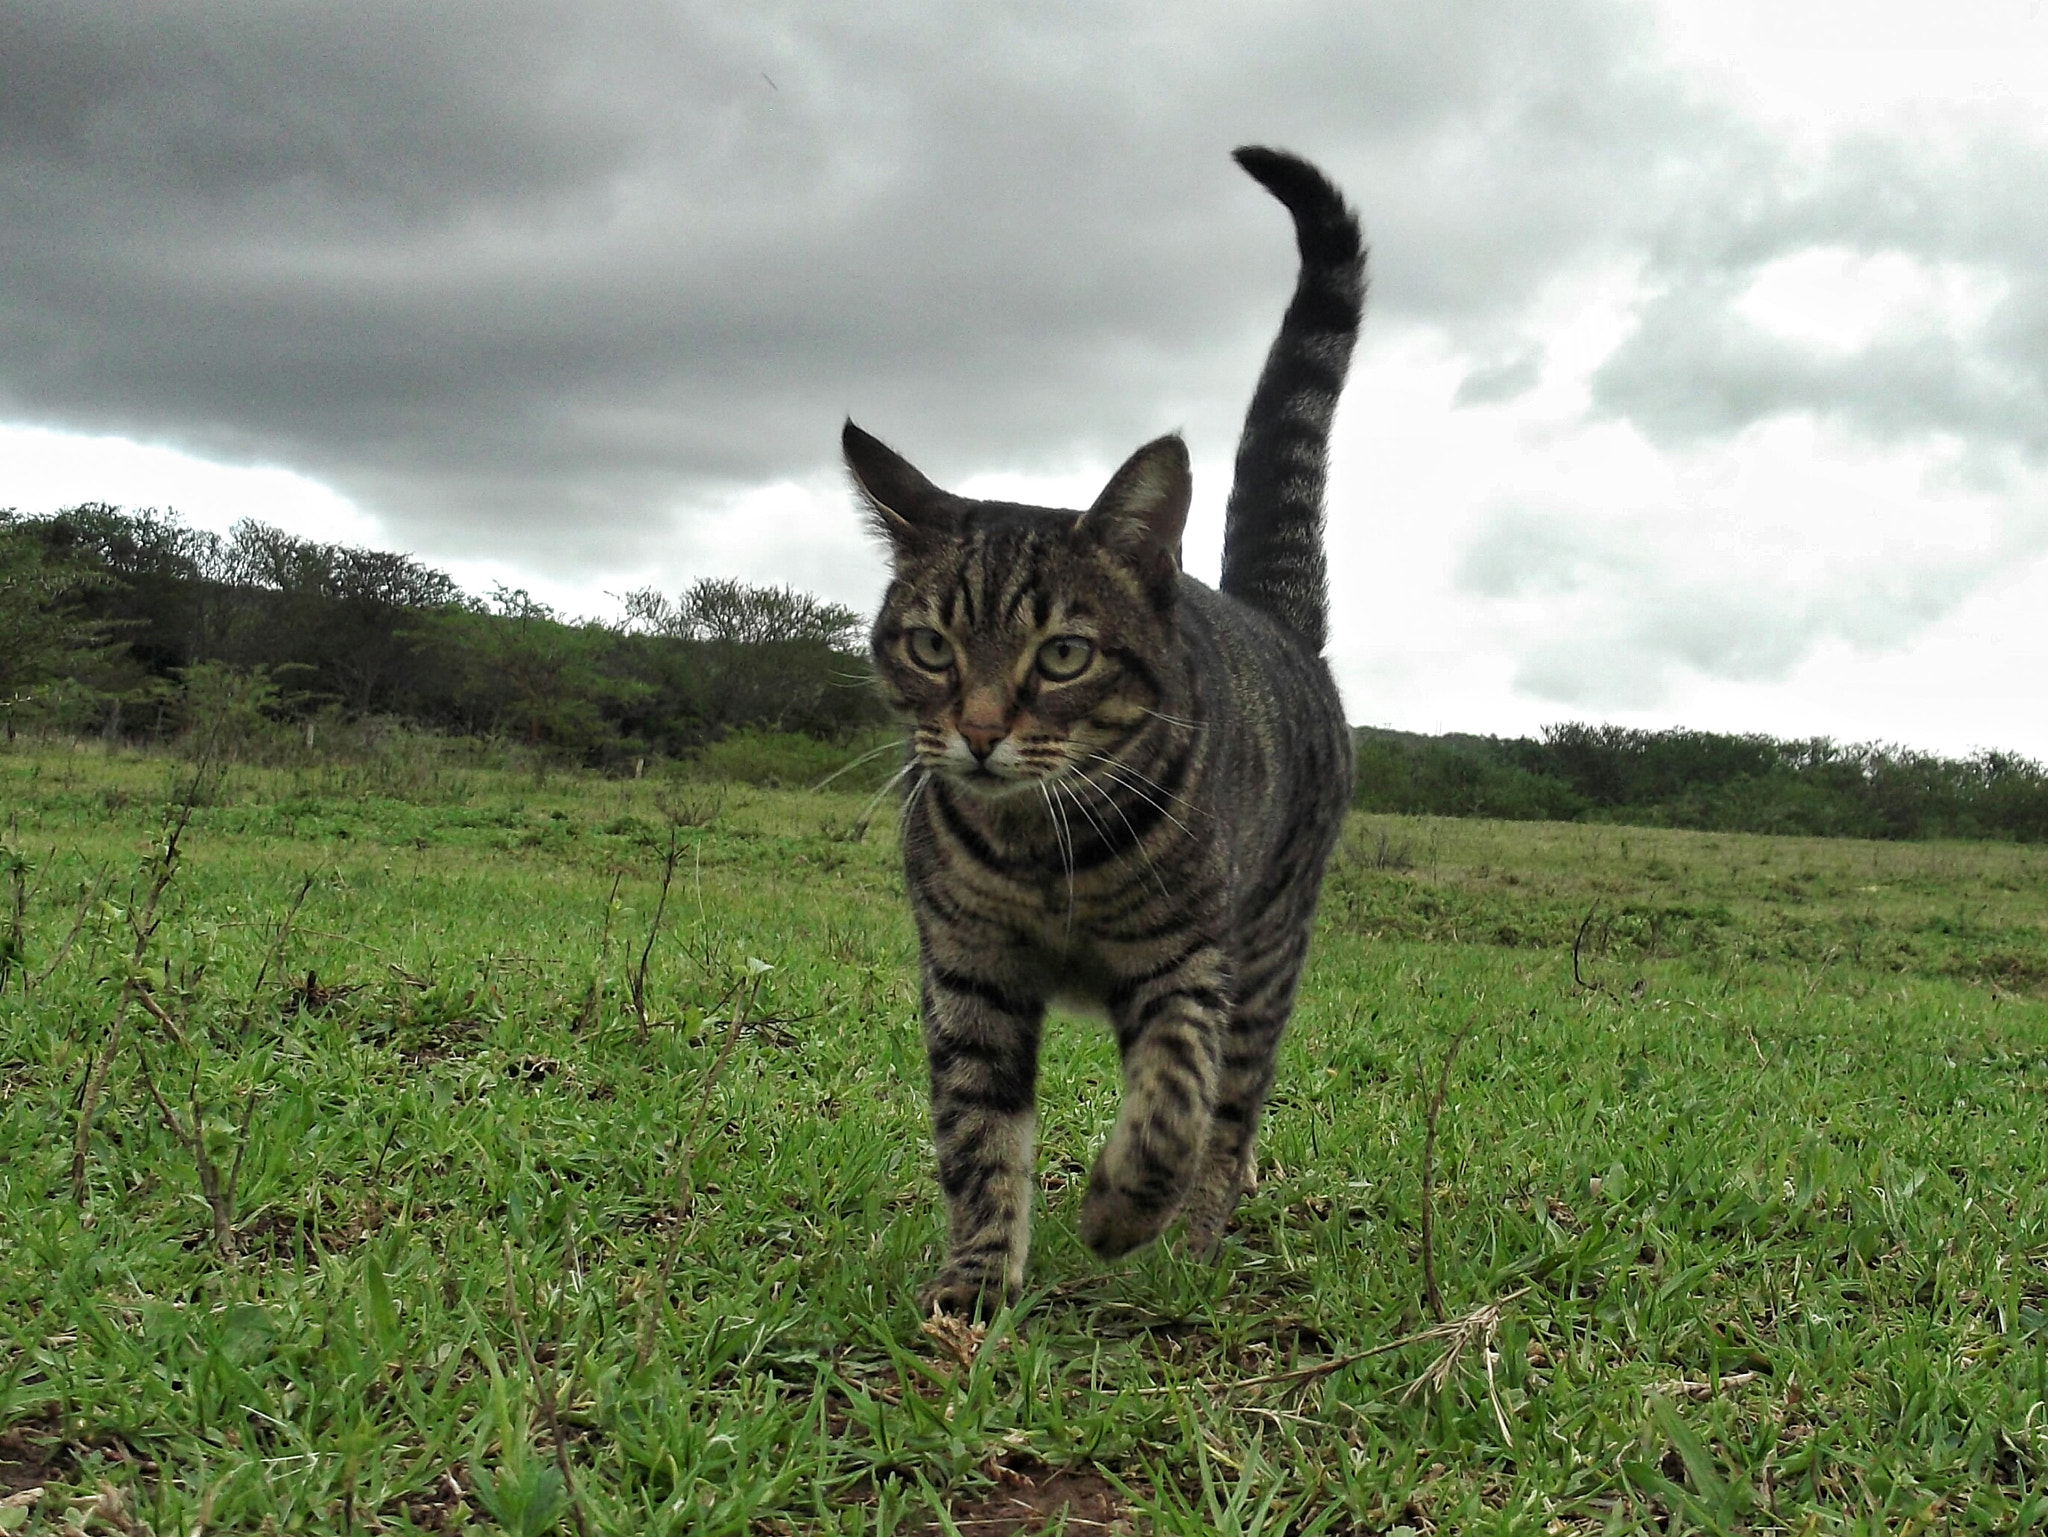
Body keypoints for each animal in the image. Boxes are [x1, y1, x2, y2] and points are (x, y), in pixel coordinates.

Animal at [839, 147, 1368, 1327]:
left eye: (1064, 655)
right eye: (932, 645)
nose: (979, 732)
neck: (1043, 850)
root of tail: (1274, 621)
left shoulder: (1187, 962)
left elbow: (1175, 1096)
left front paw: (1122, 1208)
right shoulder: (970, 972)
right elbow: (978, 1135)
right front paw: (976, 1284)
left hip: (1270, 944)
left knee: (1233, 1106)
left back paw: (1196, 1234)